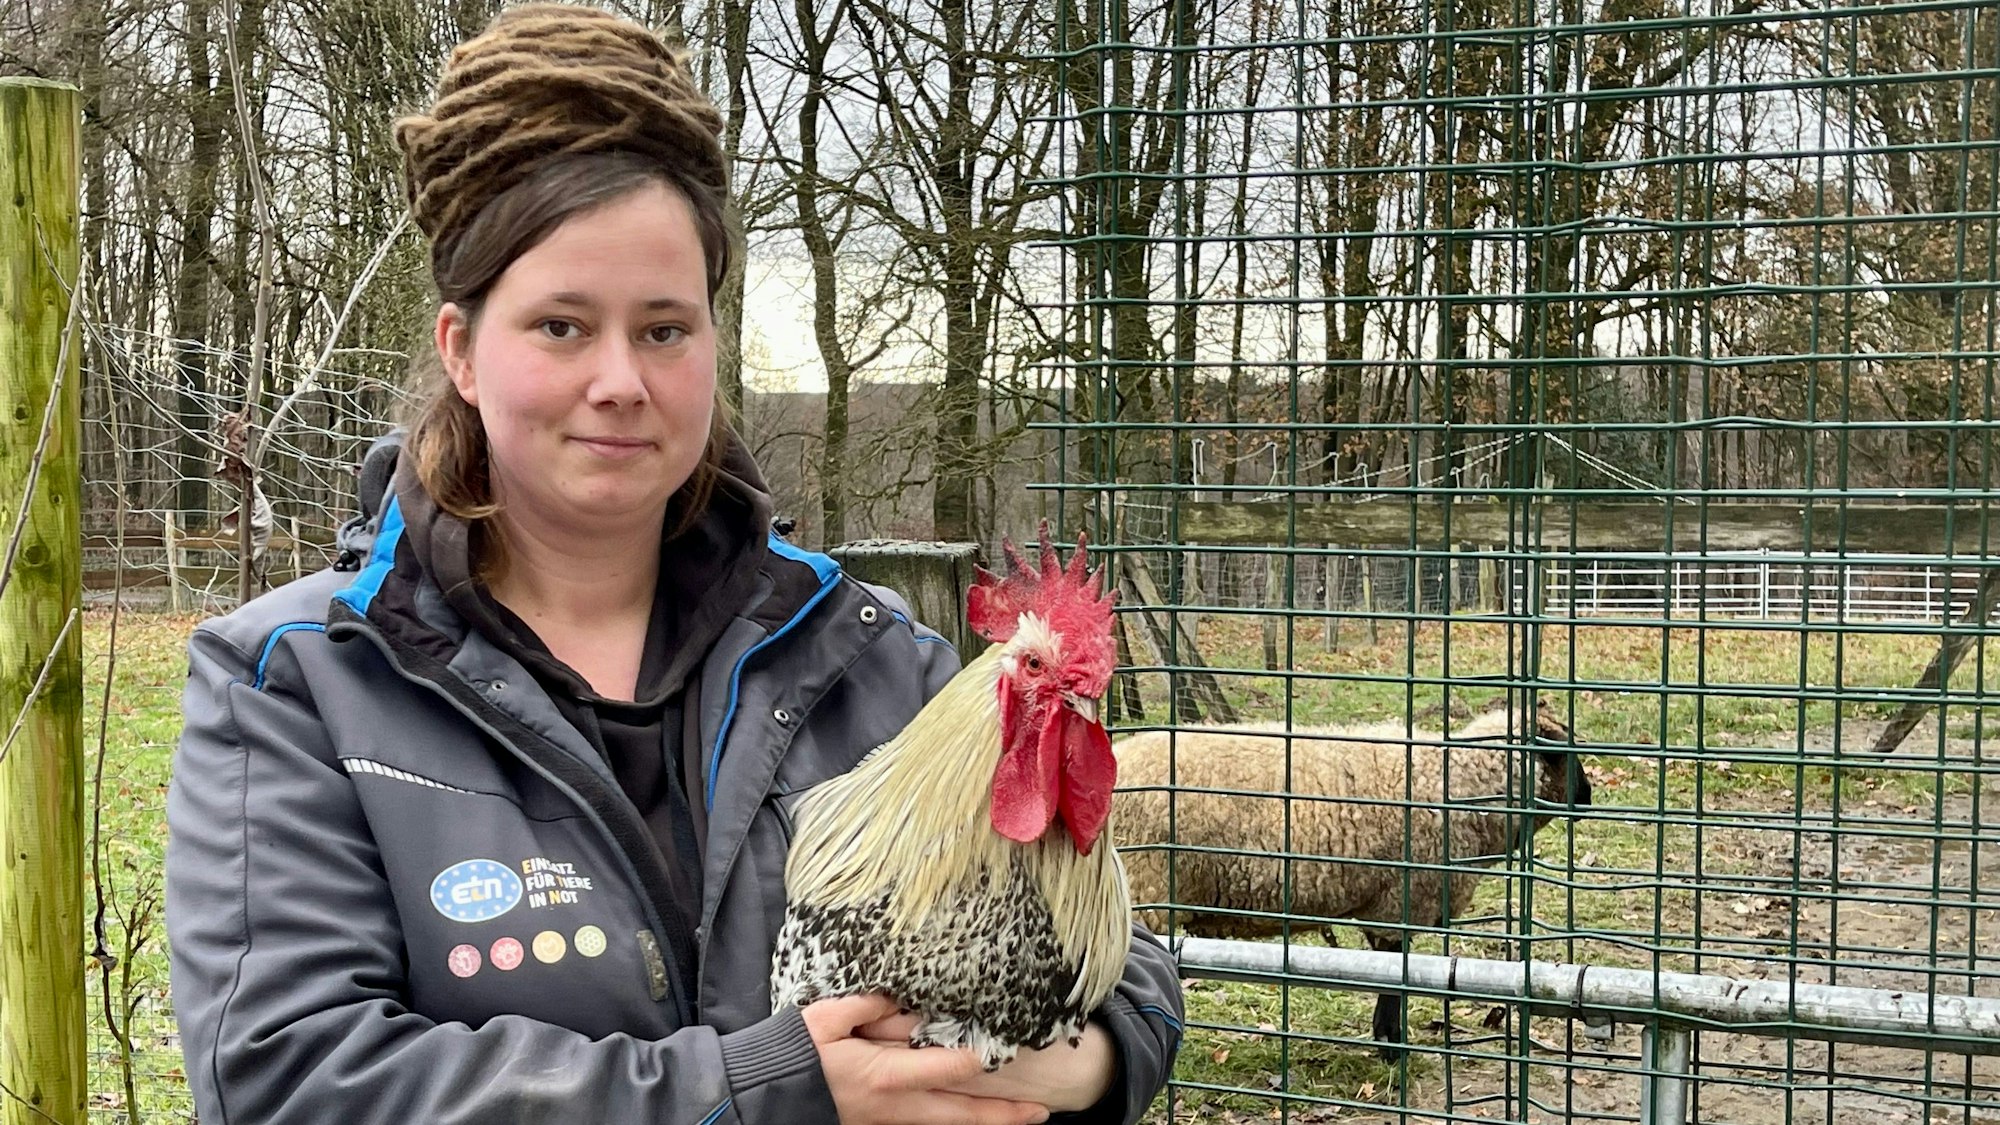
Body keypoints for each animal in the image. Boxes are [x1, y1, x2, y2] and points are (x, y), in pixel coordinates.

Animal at [1113, 704, 1592, 1059]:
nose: (1589, 798)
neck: (1459, 789)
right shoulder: (1400, 901)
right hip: (1141, 890)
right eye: (1564, 753)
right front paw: (1392, 1046)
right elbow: (1393, 975)